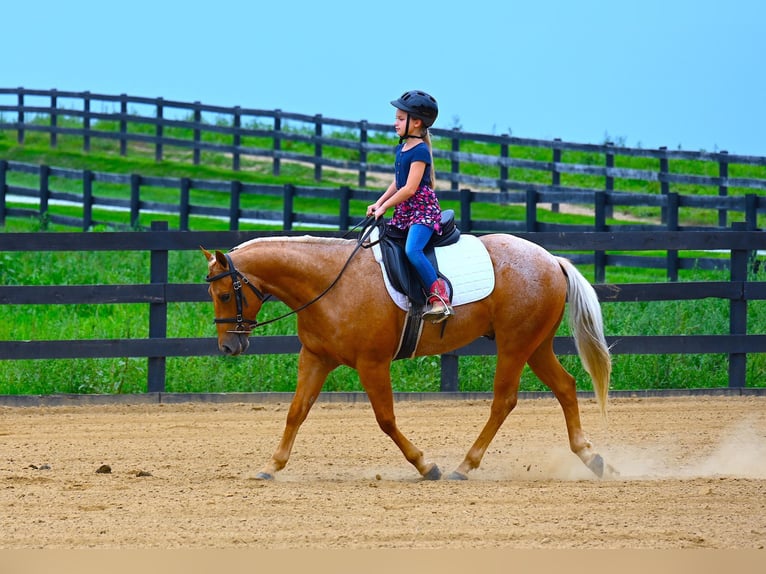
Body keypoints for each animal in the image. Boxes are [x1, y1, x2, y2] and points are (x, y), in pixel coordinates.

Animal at [202, 228, 616, 482]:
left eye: (223, 295)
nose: (228, 347)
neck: (330, 283)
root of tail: (552, 259)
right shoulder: (316, 358)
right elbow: (296, 412)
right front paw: (271, 466)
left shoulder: (372, 364)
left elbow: (386, 419)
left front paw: (426, 465)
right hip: (535, 345)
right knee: (565, 386)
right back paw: (592, 458)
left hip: (515, 345)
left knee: (504, 400)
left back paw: (464, 466)